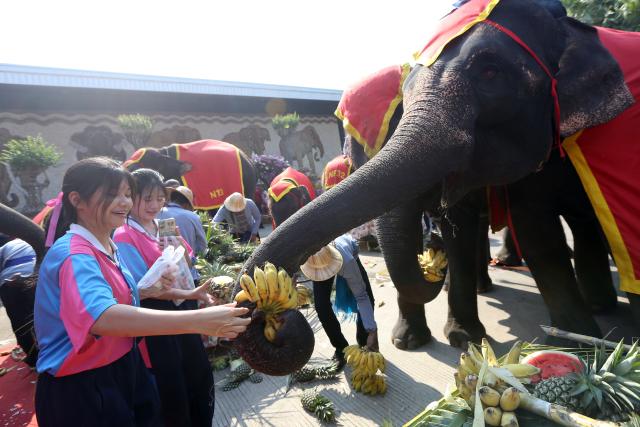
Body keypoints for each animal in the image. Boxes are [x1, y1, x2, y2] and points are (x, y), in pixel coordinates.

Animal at [237, 0, 639, 364]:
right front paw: (409, 343)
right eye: (355, 152)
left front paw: (576, 349)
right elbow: (526, 230)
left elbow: (524, 233)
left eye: (490, 72)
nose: (267, 316)